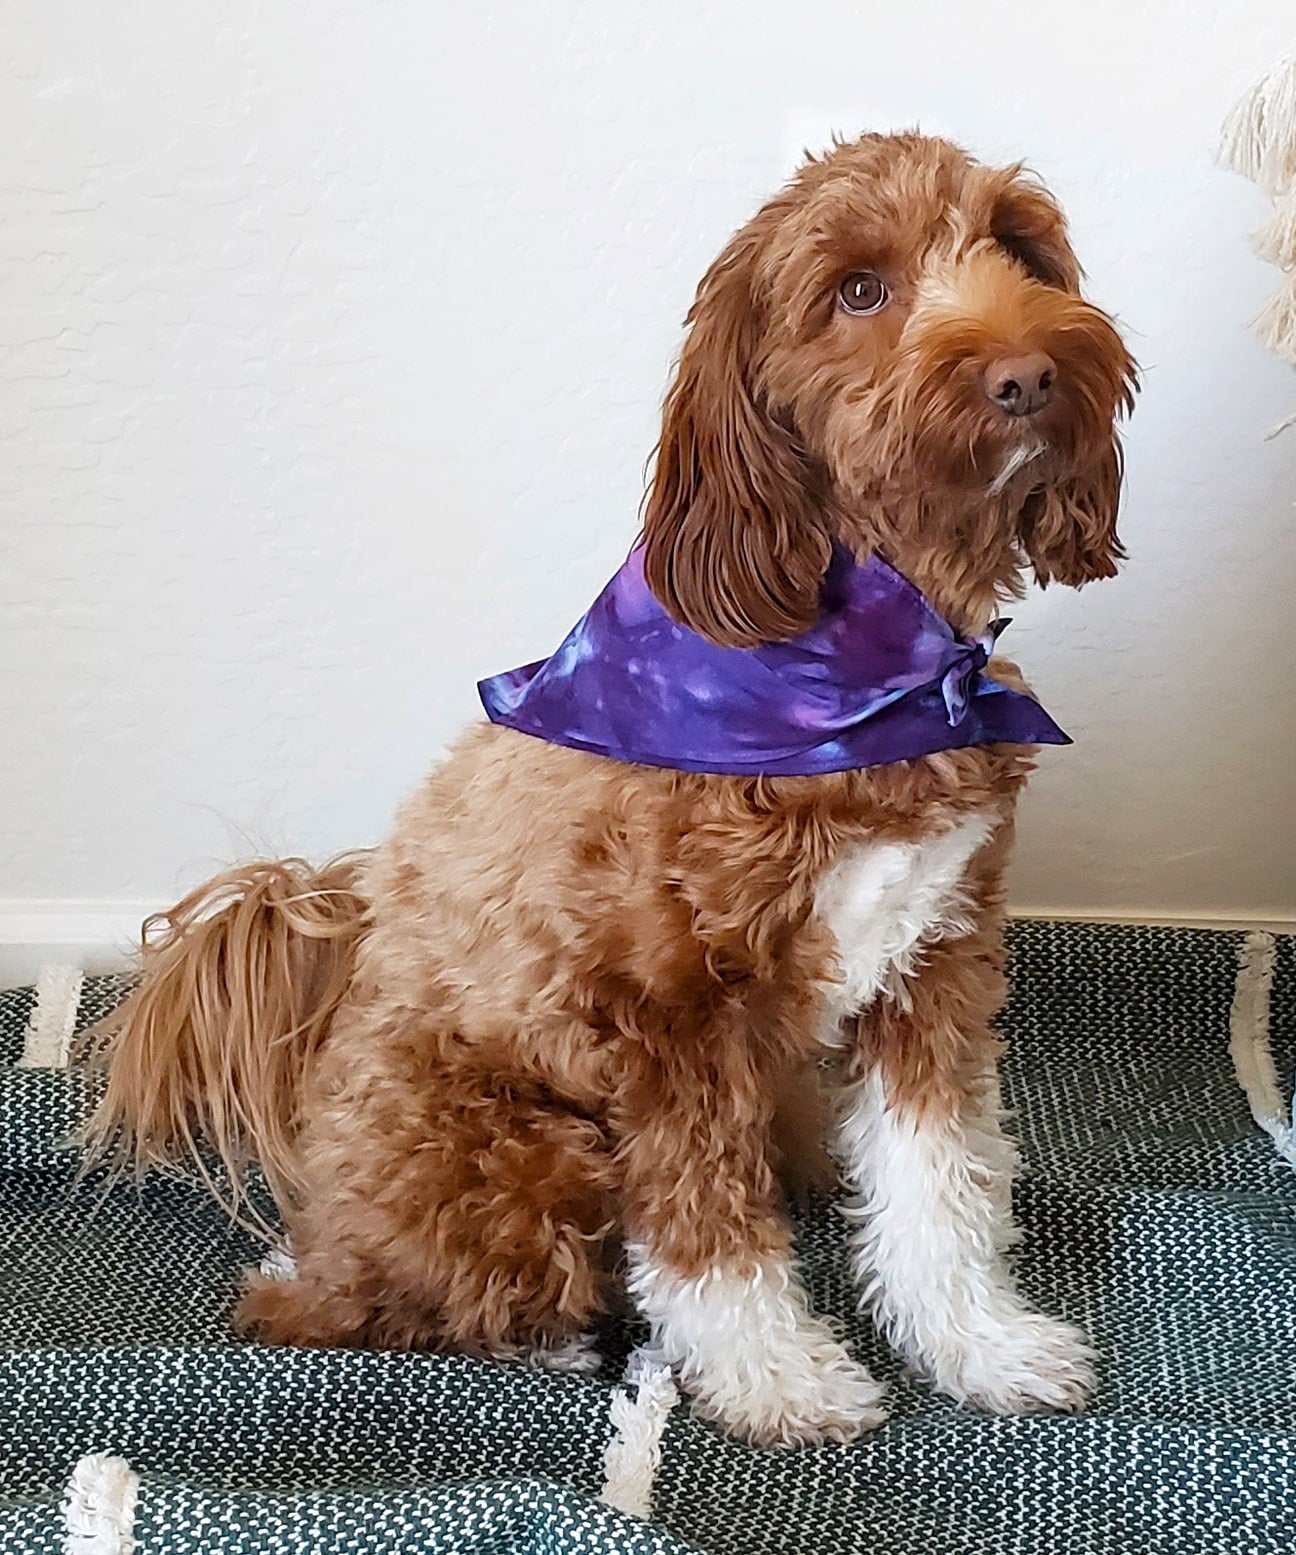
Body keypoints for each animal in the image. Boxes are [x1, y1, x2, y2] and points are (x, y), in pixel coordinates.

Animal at [83, 133, 1132, 1443]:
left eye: (1018, 249)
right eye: (858, 290)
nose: (1030, 371)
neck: (871, 675)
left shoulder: (932, 970)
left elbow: (941, 1185)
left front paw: (979, 1344)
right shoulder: (666, 1014)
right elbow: (706, 1234)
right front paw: (779, 1379)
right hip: (513, 1147)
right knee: (366, 1306)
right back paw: (533, 1333)